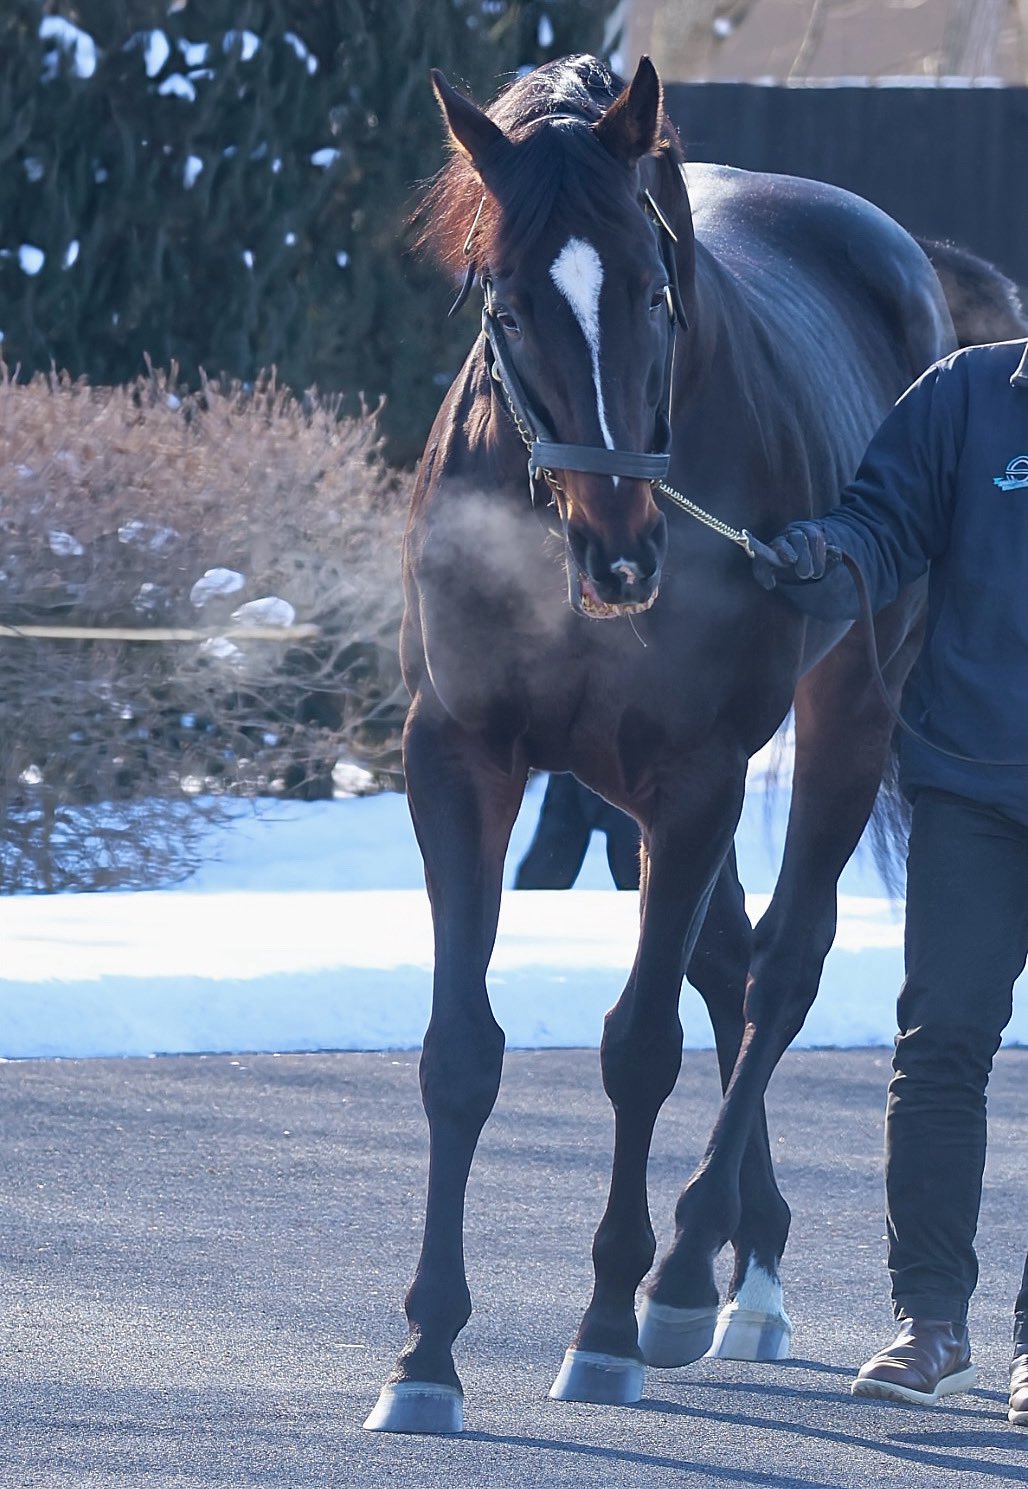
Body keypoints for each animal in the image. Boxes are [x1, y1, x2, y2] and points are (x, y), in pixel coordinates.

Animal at [364, 52, 967, 1434]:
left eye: (653, 288)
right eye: (507, 305)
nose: (622, 555)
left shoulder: (692, 776)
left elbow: (639, 1049)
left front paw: (606, 1325)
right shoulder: (460, 762)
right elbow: (458, 1054)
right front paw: (424, 1353)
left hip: (845, 710)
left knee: (779, 972)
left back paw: (696, 1272)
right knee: (730, 965)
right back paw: (751, 1258)